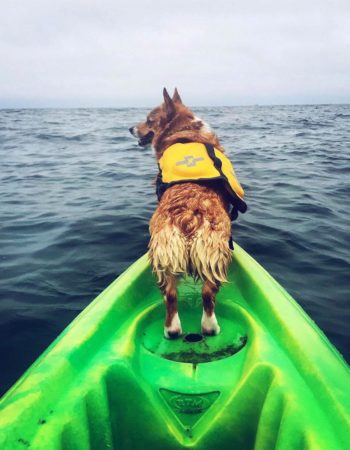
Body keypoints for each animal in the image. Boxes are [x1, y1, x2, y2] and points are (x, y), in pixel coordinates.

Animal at [129, 89, 246, 340]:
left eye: (149, 120)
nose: (130, 129)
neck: (183, 132)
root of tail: (188, 217)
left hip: (168, 257)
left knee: (172, 296)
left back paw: (173, 331)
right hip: (214, 256)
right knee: (207, 295)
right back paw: (210, 328)